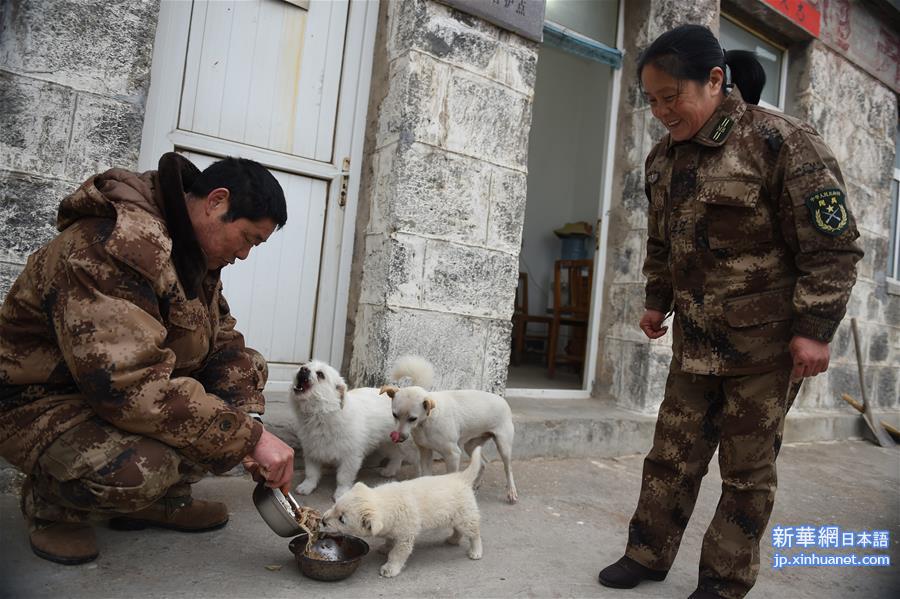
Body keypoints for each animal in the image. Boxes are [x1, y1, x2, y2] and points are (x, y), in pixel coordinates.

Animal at [290, 358, 420, 504]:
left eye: (320, 374)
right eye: (305, 366)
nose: (303, 369)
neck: (322, 415)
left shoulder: (350, 457)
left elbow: (343, 478)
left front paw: (341, 494)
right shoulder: (312, 452)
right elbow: (311, 473)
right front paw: (307, 487)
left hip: (408, 446)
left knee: (419, 460)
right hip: (386, 443)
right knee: (398, 456)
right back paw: (390, 470)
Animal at [320, 448, 482, 580]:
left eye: (342, 519)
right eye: (334, 506)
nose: (322, 520)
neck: (383, 502)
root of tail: (461, 478)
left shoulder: (405, 537)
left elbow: (397, 553)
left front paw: (390, 568)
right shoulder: (392, 528)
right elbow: (389, 539)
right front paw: (385, 547)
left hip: (466, 517)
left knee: (474, 534)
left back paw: (476, 551)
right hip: (456, 517)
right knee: (458, 530)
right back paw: (453, 539)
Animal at [382, 356, 520, 506]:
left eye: (413, 418)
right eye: (394, 415)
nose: (398, 437)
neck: (427, 421)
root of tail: (503, 400)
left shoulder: (453, 454)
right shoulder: (425, 452)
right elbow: (426, 474)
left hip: (503, 445)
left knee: (508, 469)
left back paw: (511, 492)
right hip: (470, 445)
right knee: (482, 463)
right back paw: (475, 485)